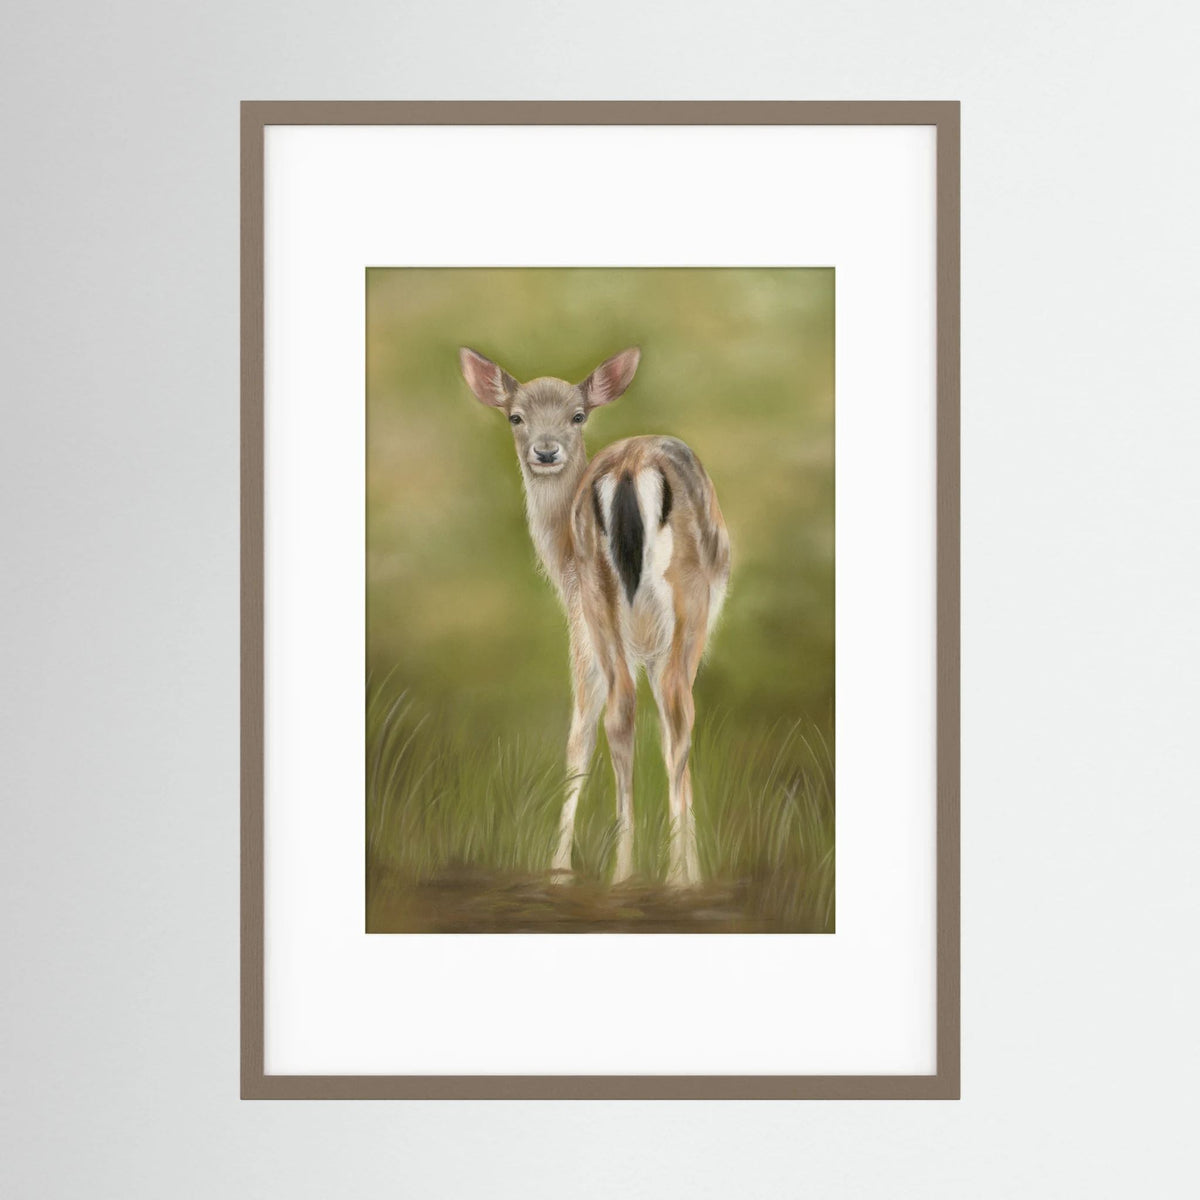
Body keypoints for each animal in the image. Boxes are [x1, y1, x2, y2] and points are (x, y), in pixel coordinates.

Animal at [458, 346, 731, 887]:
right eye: (515, 416)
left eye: (577, 416)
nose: (545, 452)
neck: (558, 559)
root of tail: (629, 469)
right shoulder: (595, 631)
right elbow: (594, 733)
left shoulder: (594, 627)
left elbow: (587, 731)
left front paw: (560, 868)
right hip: (674, 603)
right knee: (669, 712)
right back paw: (662, 877)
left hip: (605, 598)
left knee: (630, 712)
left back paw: (630, 872)